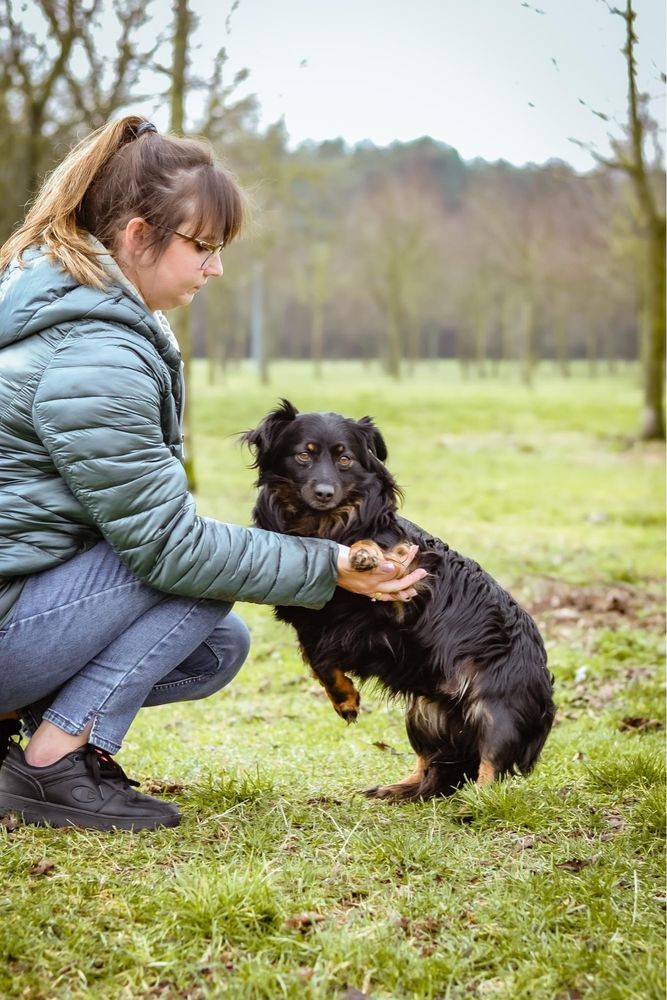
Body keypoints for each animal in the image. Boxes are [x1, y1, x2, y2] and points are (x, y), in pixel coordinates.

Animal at [243, 402, 556, 800]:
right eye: (303, 456)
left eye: (344, 459)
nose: (326, 492)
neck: (322, 525)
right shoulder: (308, 621)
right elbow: (319, 662)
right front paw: (344, 699)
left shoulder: (409, 591)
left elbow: (378, 549)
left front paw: (363, 552)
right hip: (423, 714)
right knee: (432, 765)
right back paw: (397, 790)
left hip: (494, 706)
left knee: (491, 763)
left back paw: (478, 800)